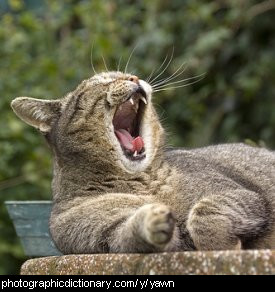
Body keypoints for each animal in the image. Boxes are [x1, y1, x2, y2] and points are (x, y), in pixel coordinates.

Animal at [10, 71, 275, 253]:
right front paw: (151, 220)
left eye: (124, 73)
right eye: (102, 80)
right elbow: (129, 232)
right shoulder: (99, 233)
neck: (141, 181)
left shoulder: (240, 193)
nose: (133, 77)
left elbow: (204, 210)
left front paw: (219, 245)